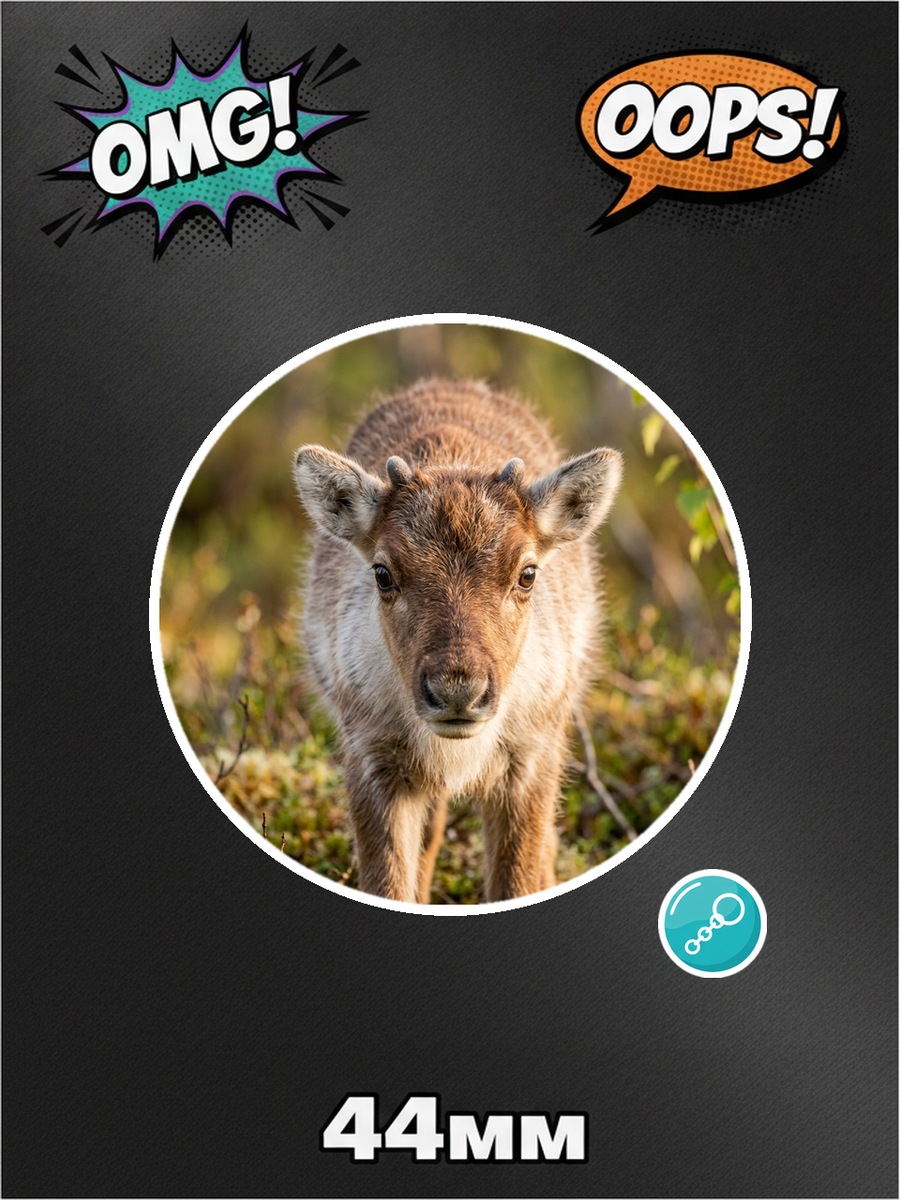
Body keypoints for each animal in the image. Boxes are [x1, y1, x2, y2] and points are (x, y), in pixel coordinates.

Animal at [293, 378, 622, 904]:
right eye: (383, 572)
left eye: (527, 573)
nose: (456, 691)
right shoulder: (373, 759)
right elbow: (390, 882)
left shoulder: (531, 760)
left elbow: (517, 879)